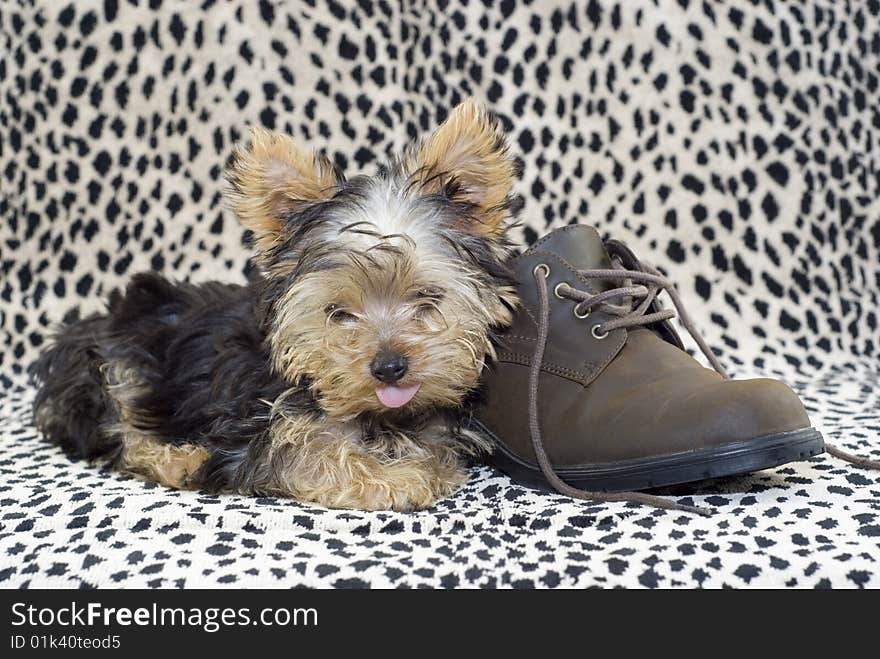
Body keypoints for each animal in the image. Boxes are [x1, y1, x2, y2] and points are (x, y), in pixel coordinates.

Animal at [31, 99, 520, 510]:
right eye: (338, 312)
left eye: (427, 298)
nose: (389, 367)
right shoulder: (253, 433)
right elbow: (309, 454)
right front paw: (396, 478)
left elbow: (434, 448)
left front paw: (422, 463)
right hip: (115, 363)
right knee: (118, 427)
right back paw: (179, 459)